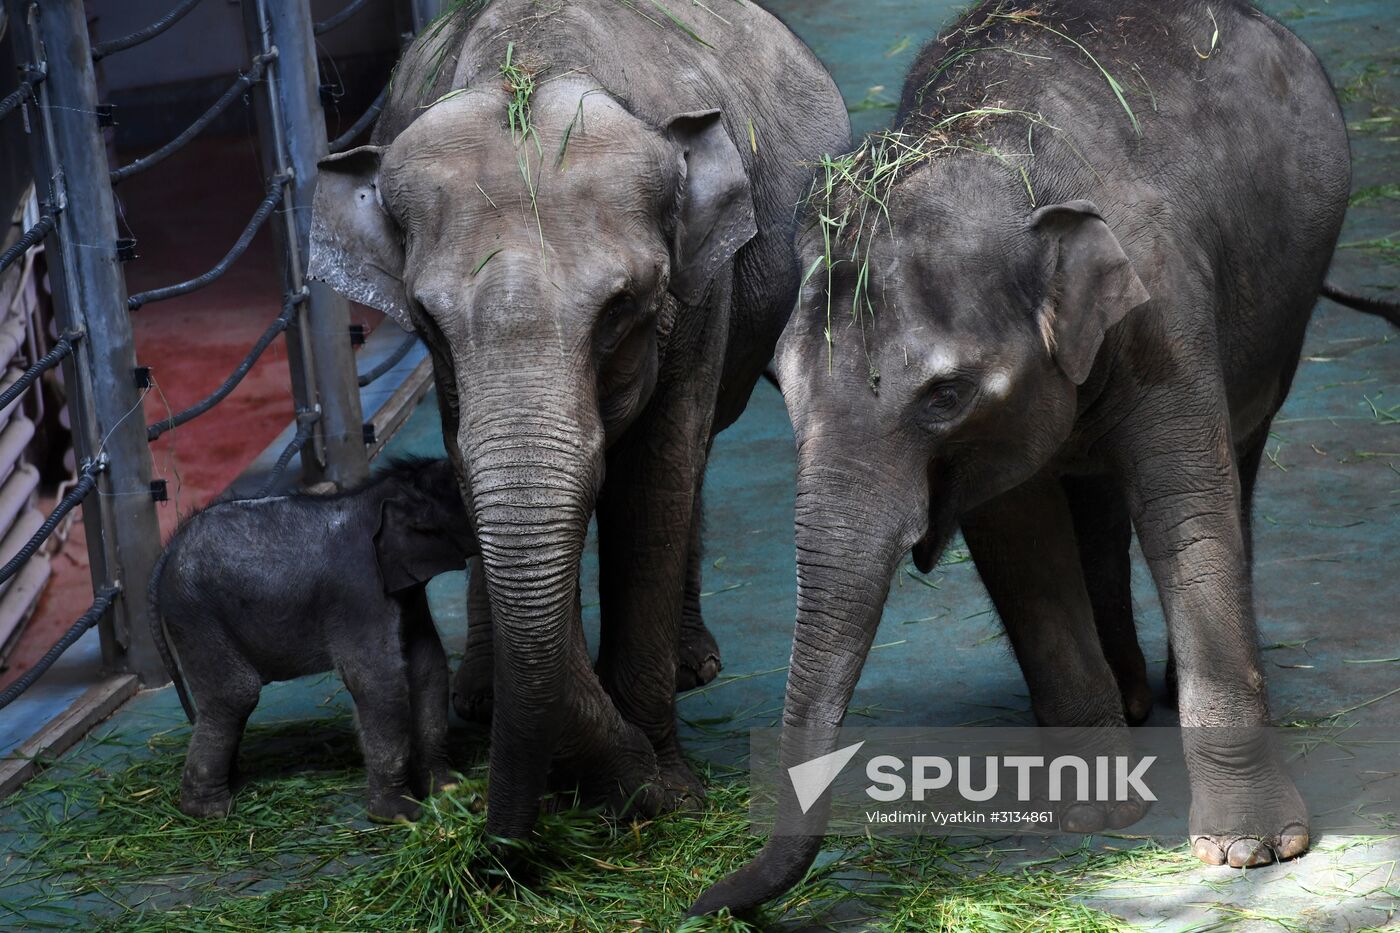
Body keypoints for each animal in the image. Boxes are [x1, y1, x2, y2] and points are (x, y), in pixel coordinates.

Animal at [148, 458, 475, 822]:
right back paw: (211, 811)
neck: (375, 494)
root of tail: (167, 550)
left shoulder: (405, 593)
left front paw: (450, 791)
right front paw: (400, 815)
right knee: (235, 695)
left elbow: (427, 667)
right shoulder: (357, 591)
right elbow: (379, 682)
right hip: (195, 614)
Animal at [307, 0, 850, 840]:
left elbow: (653, 479)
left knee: (695, 457)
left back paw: (693, 668)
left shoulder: (703, 289)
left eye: (622, 306)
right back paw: (482, 698)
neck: (533, 64)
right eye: (425, 318)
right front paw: (606, 779)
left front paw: (667, 794)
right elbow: (478, 467)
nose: (496, 834)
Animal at [692, 0, 1399, 915]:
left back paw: (1163, 688)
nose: (699, 902)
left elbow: (1186, 520)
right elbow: (1022, 541)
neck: (995, 148)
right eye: (777, 381)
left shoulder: (1163, 308)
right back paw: (1130, 699)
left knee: (1237, 459)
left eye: (944, 394)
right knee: (1094, 498)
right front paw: (1094, 814)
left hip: (1283, 313)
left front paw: (1250, 851)